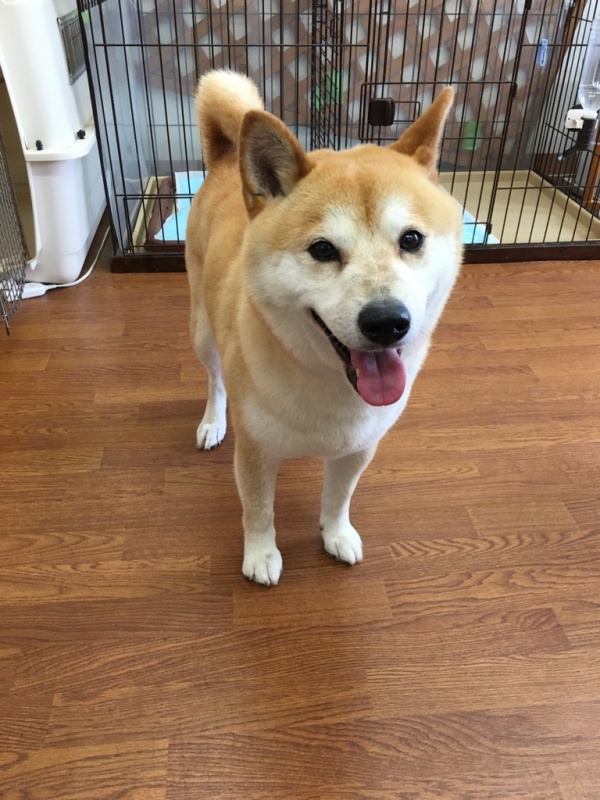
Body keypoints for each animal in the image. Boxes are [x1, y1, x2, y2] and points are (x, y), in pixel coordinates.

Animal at [185, 71, 463, 585]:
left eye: (411, 239)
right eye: (322, 250)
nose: (387, 322)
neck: (331, 386)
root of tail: (226, 158)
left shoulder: (359, 447)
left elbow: (338, 498)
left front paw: (336, 534)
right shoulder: (254, 452)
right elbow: (258, 511)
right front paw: (260, 554)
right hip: (203, 332)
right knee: (215, 380)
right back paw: (213, 420)